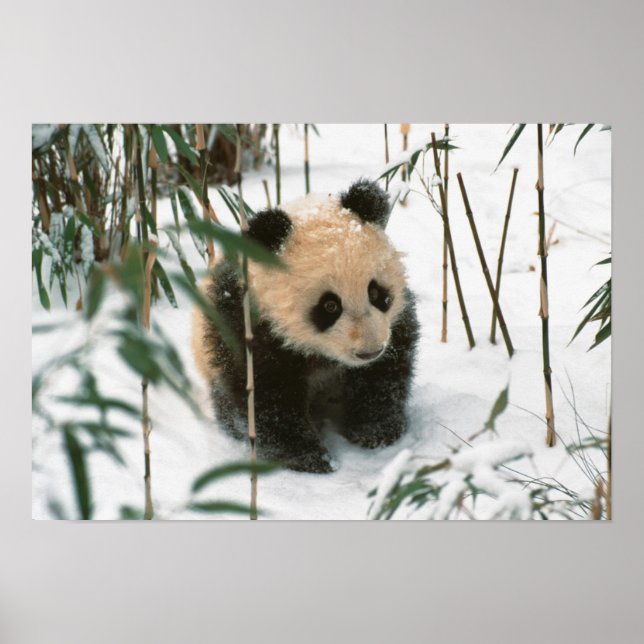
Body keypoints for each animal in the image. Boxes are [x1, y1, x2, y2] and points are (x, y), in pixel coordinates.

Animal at [191, 178, 419, 473]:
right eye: (330, 306)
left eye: (376, 293)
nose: (368, 351)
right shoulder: (246, 326)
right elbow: (265, 396)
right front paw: (308, 457)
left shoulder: (394, 325)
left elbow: (384, 374)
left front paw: (376, 431)